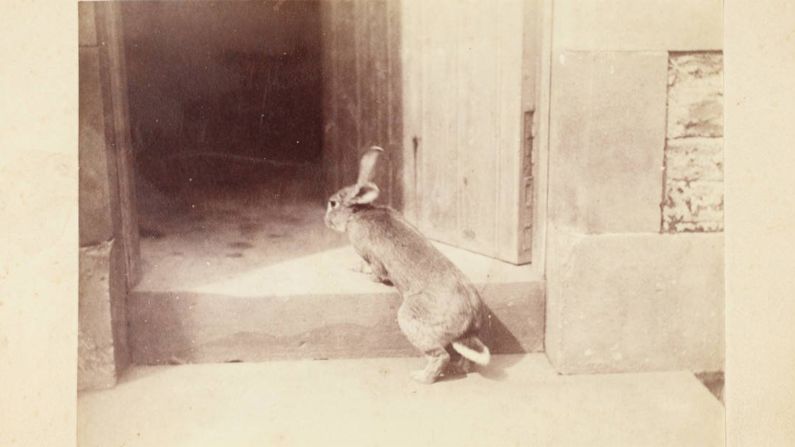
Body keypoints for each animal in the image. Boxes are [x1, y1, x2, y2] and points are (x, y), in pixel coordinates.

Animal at [324, 146, 491, 384]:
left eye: (333, 203)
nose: (326, 220)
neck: (358, 213)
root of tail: (469, 321)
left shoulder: (372, 257)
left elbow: (376, 271)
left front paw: (360, 272)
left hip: (412, 319)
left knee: (440, 355)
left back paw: (421, 377)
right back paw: (459, 369)